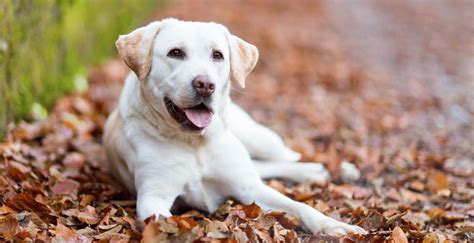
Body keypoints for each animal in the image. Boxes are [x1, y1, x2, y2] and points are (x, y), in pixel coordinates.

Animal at [103, 18, 364, 235]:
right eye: (175, 53)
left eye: (217, 55)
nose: (205, 84)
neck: (195, 143)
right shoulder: (153, 198)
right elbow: (165, 222)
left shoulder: (249, 188)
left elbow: (299, 206)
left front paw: (334, 225)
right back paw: (319, 172)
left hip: (258, 138)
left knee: (287, 156)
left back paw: (333, 169)